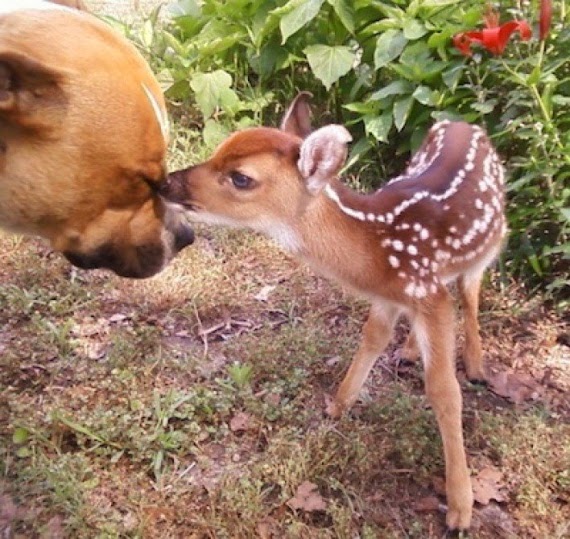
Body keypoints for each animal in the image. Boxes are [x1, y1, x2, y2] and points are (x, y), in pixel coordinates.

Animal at [161, 94, 506, 532]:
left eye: (241, 178)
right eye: (220, 149)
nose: (164, 183)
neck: (377, 250)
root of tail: (465, 124)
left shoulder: (427, 292)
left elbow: (444, 391)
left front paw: (460, 507)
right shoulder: (392, 297)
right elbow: (372, 338)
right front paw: (338, 405)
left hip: (492, 240)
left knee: (471, 291)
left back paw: (476, 366)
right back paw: (411, 350)